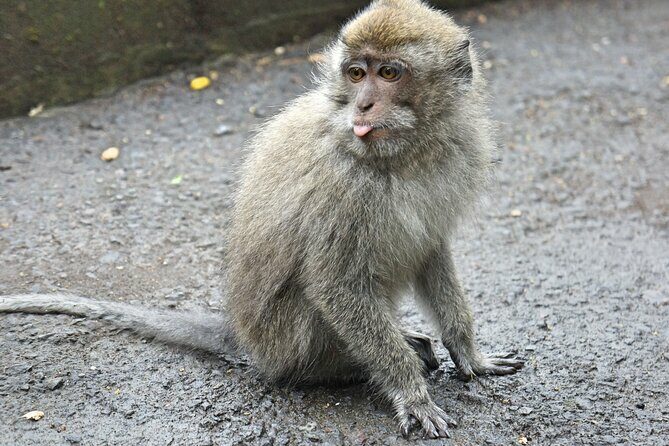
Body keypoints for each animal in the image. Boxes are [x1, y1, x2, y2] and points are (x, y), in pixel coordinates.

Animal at [0, 0, 524, 439]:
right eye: (356, 73)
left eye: (390, 73)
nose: (363, 104)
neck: (404, 155)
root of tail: (248, 340)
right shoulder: (341, 186)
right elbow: (336, 284)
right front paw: (409, 392)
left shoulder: (455, 152)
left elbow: (431, 250)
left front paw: (468, 352)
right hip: (289, 342)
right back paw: (356, 364)